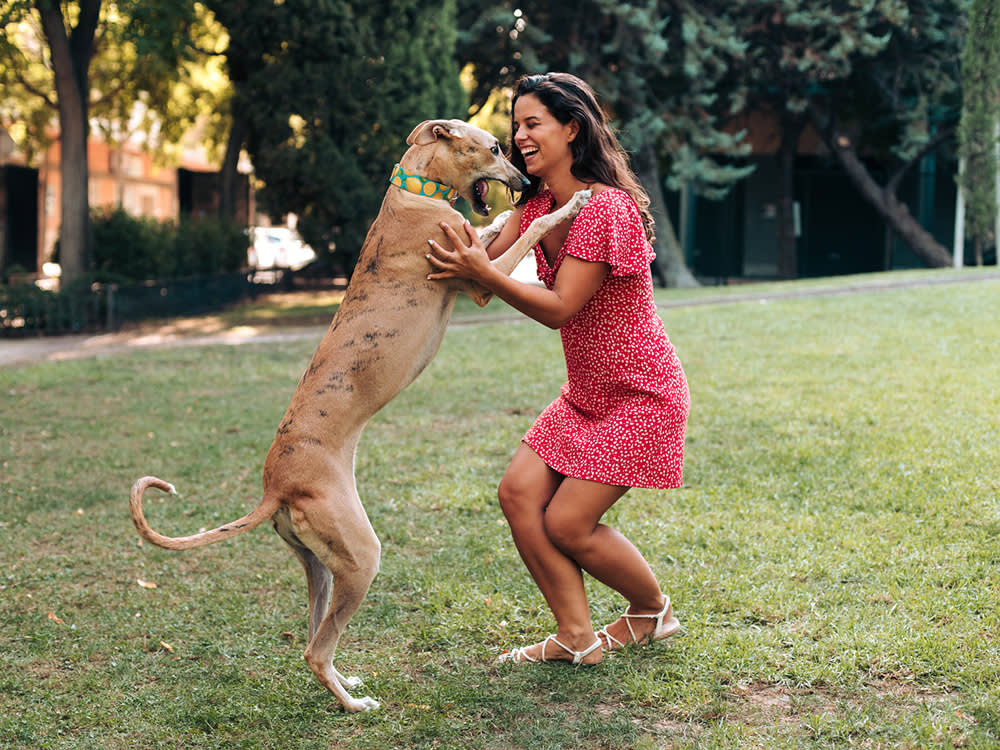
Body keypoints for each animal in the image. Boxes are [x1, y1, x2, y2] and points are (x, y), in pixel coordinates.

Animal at [129, 116, 588, 712]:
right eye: (493, 148)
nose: (528, 184)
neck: (416, 193)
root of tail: (275, 488)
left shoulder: (472, 254)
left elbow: (494, 230)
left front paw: (514, 213)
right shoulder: (480, 281)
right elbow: (525, 238)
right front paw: (567, 204)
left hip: (320, 567)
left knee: (313, 639)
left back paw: (347, 684)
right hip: (361, 556)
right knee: (314, 649)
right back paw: (353, 705)